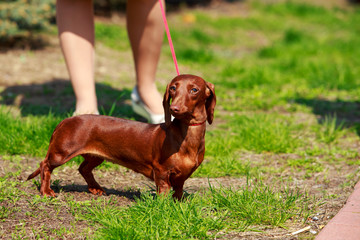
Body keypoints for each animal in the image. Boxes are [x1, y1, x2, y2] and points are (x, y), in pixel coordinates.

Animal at [27, 74, 217, 200]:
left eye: (194, 90)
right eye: (173, 88)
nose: (174, 109)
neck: (185, 136)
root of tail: (65, 120)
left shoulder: (182, 176)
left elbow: (178, 192)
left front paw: (178, 205)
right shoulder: (161, 172)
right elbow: (163, 191)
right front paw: (164, 208)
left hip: (95, 157)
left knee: (84, 169)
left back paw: (95, 188)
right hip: (61, 153)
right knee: (45, 165)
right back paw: (46, 191)